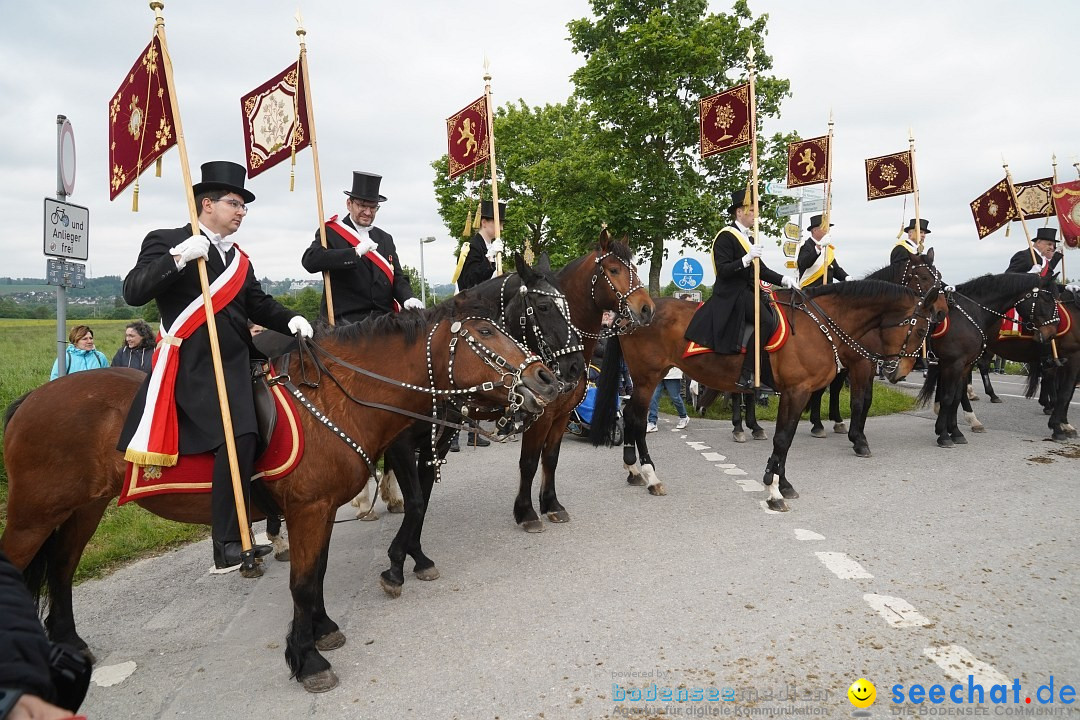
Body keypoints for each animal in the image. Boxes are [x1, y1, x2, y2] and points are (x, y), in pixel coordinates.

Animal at [0, 297, 557, 690]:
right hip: (34, 515)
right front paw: (307, 659)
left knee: (62, 570)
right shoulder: (309, 509)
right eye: (485, 332)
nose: (547, 378)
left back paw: (71, 643)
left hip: (82, 509)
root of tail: (30, 399)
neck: (336, 397)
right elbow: (304, 583)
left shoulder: (322, 510)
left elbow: (319, 574)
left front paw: (322, 628)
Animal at [591, 280, 937, 511]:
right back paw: (649, 476)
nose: (899, 371)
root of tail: (634, 313)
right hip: (647, 378)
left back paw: (633, 470)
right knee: (636, 420)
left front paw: (782, 483)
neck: (818, 325)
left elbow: (787, 438)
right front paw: (773, 491)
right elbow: (782, 439)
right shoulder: (796, 391)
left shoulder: (798, 393)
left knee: (631, 417)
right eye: (922, 329)